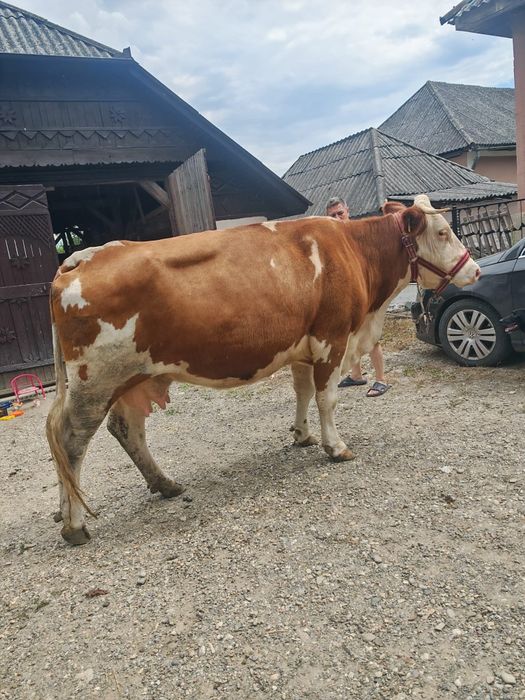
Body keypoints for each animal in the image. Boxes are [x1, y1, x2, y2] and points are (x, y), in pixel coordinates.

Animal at [46, 195, 480, 544]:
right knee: (71, 441)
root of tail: (82, 257)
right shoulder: (332, 337)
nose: (475, 270)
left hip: (133, 377)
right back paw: (75, 525)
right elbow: (327, 397)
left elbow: (303, 391)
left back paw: (162, 484)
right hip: (95, 381)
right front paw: (335, 446)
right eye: (443, 232)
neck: (353, 251)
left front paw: (302, 435)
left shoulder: (303, 345)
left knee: (126, 429)